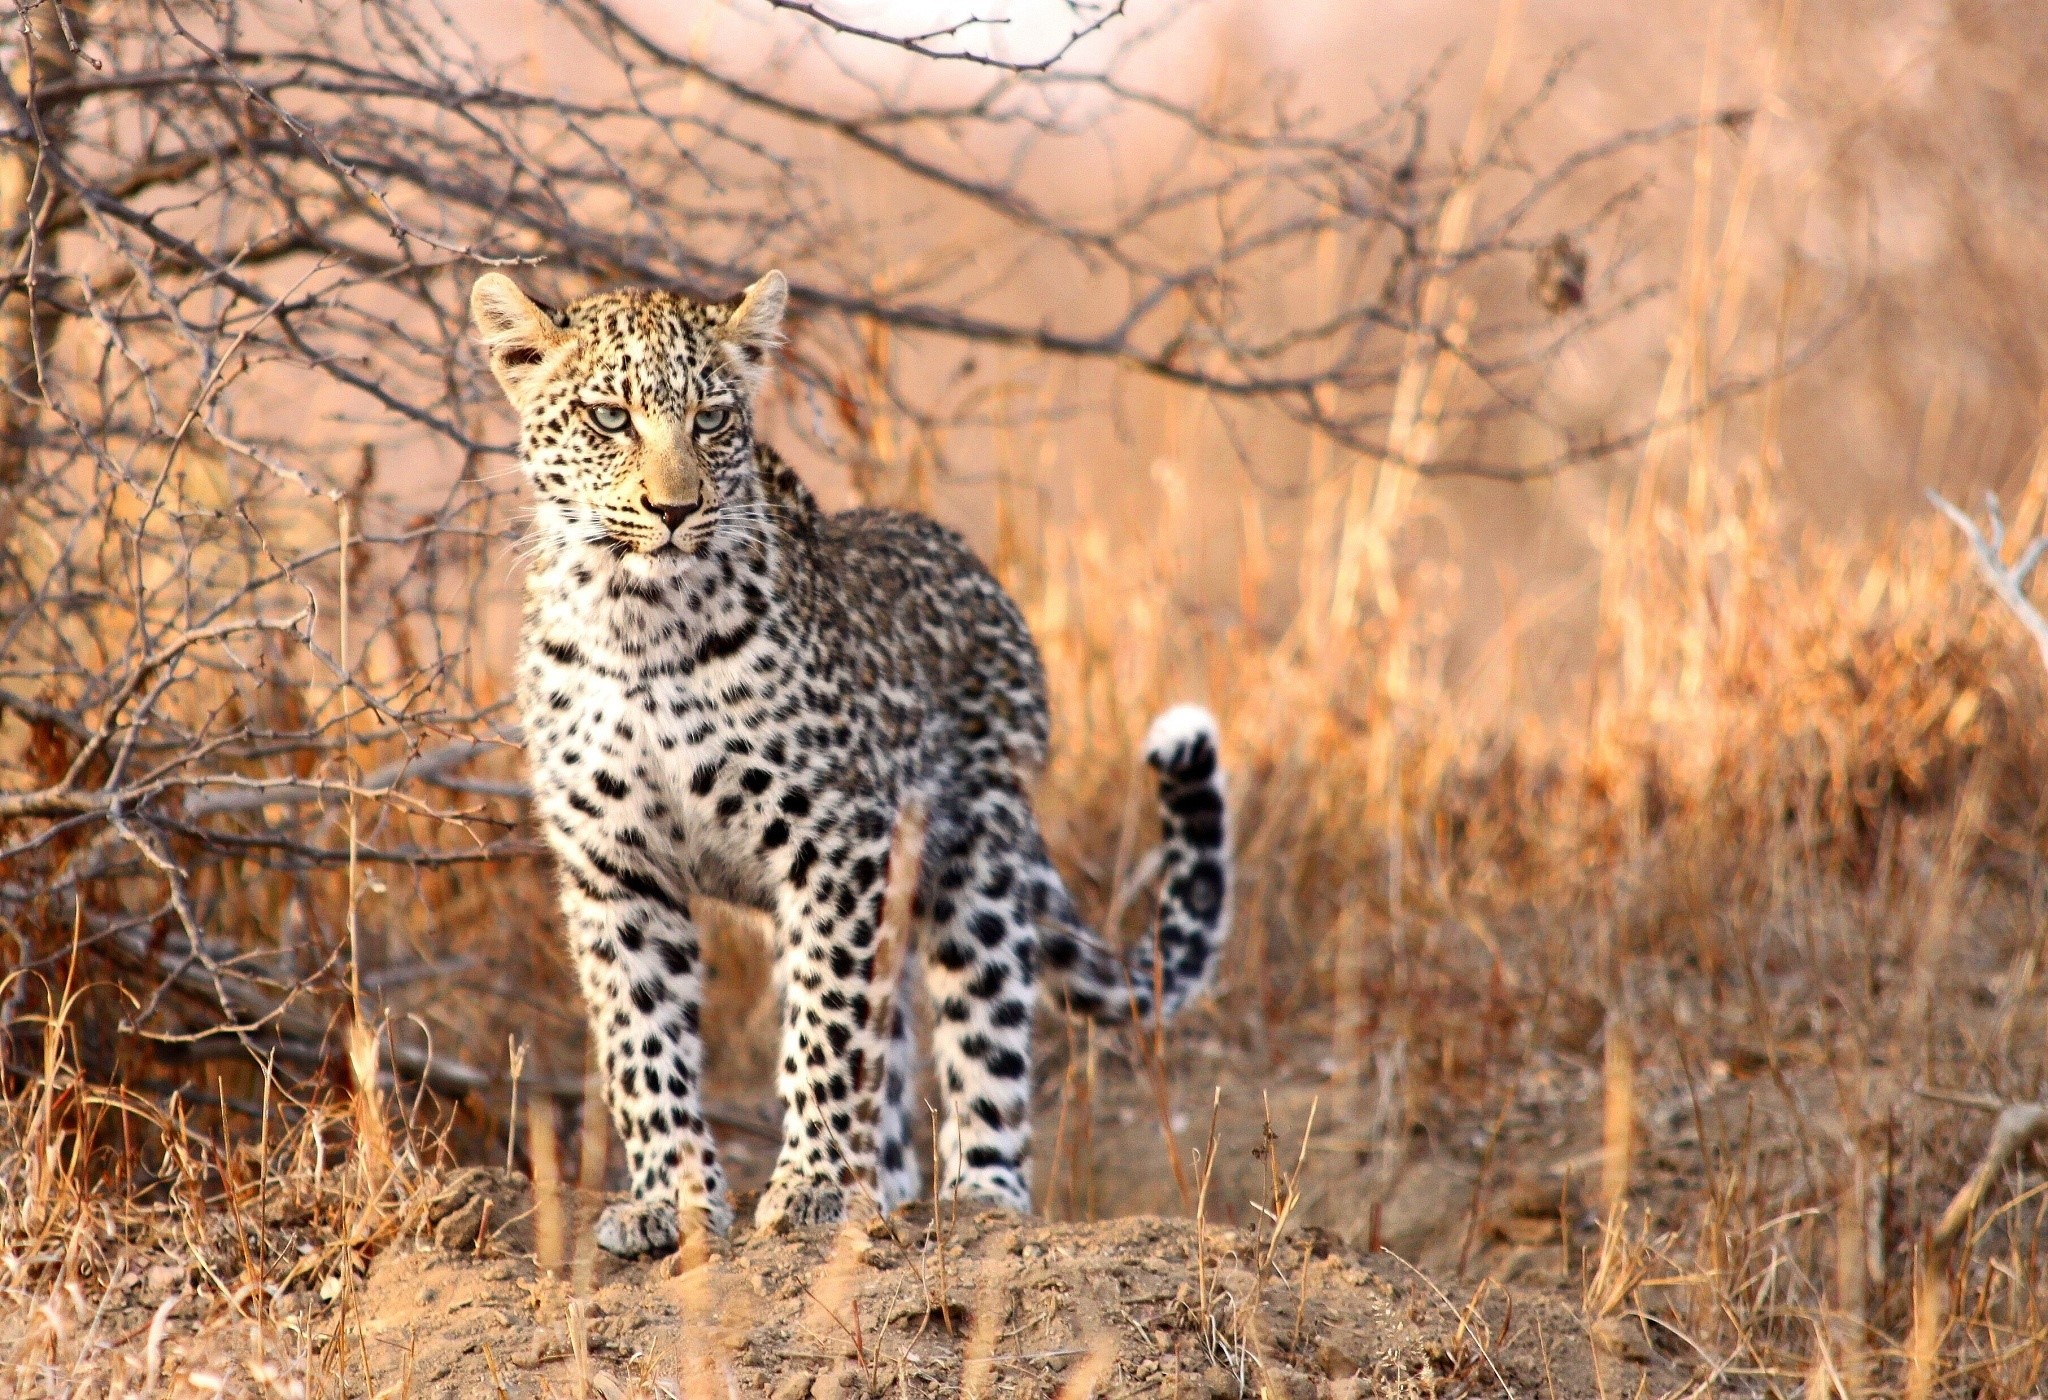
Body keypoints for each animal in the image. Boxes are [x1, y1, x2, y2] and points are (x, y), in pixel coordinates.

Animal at [469, 269, 1231, 1254]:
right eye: (609, 417)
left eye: (712, 418)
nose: (675, 512)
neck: (638, 621)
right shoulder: (613, 868)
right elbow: (643, 1042)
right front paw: (669, 1201)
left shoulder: (834, 845)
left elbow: (828, 1031)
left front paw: (812, 1188)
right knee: (894, 1055)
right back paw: (891, 1195)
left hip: (976, 861)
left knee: (979, 1032)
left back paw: (976, 1201)